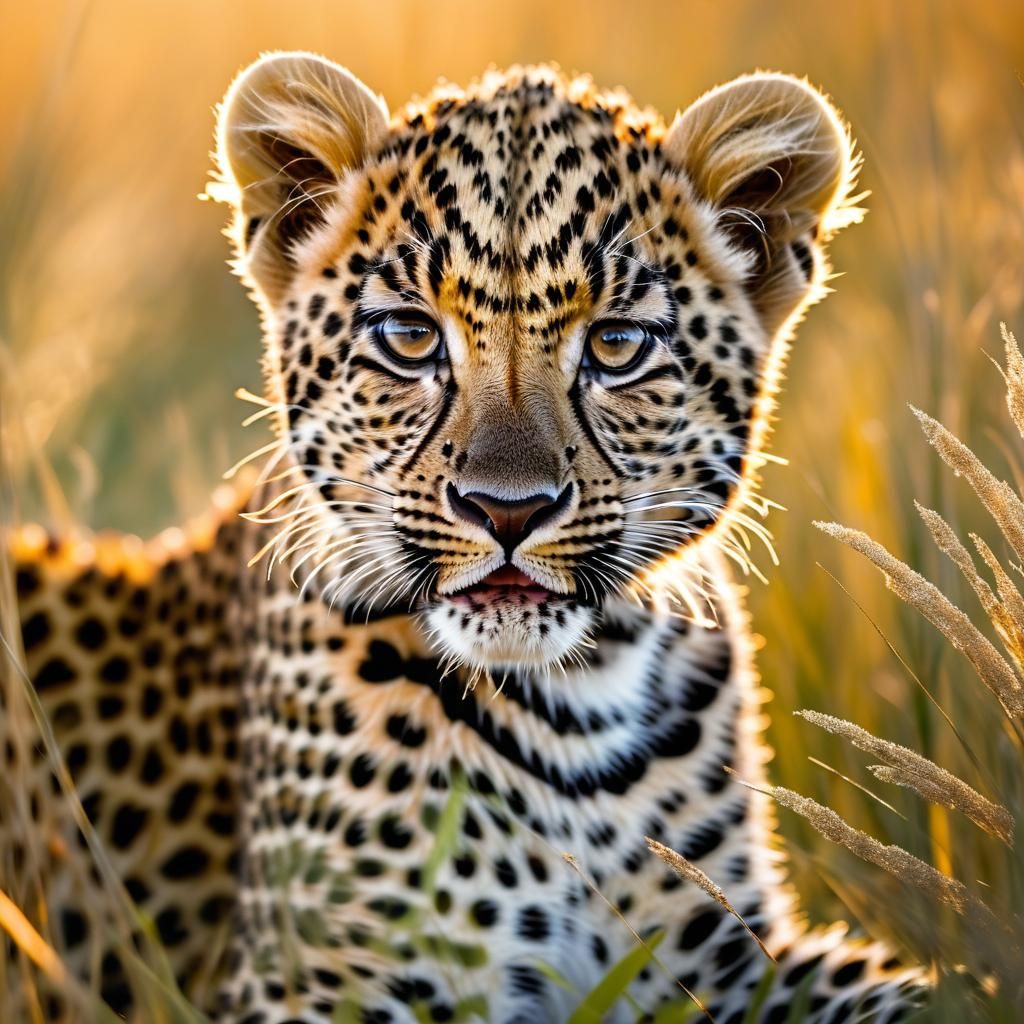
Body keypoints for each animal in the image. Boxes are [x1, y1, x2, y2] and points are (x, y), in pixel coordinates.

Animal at [4, 53, 930, 1023]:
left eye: (617, 343)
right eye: (411, 336)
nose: (509, 509)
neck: (578, 712)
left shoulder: (727, 959)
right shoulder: (320, 983)